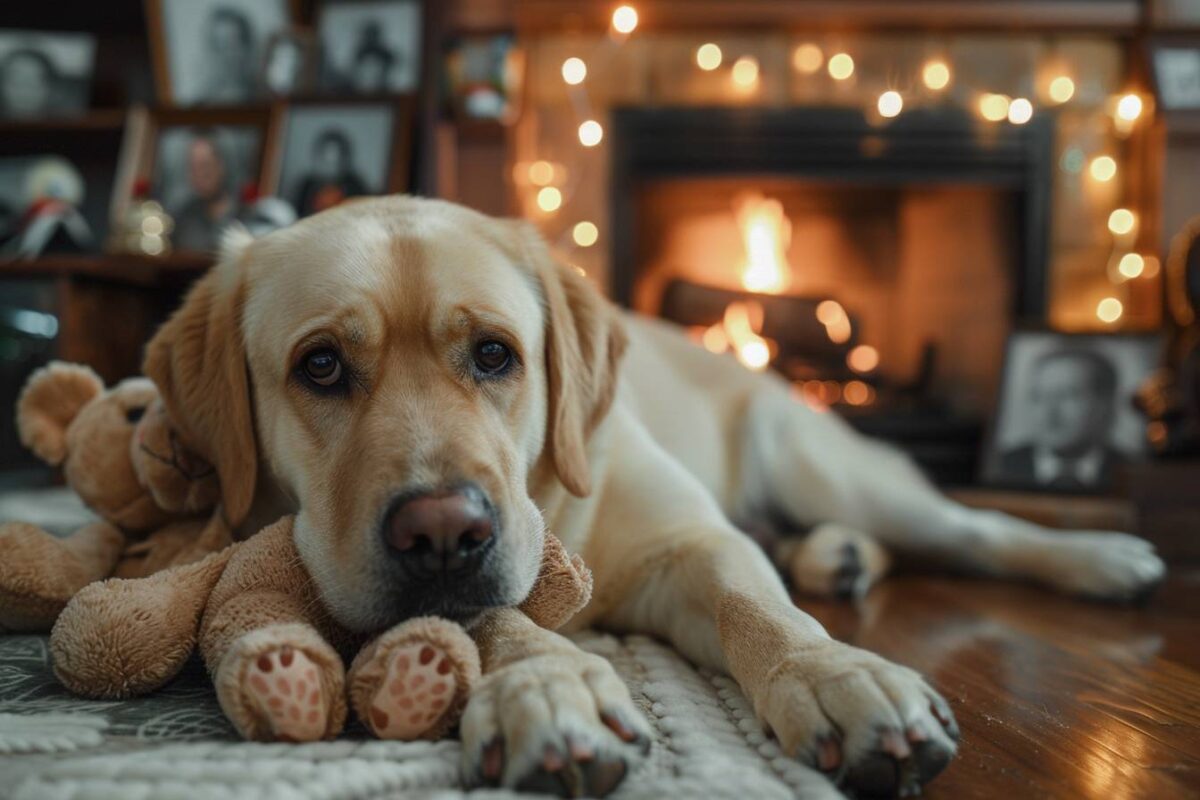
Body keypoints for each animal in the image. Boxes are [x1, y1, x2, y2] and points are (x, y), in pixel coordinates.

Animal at [142, 196, 1161, 796]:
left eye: (494, 355)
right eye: (319, 366)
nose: (444, 532)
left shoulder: (695, 545)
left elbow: (761, 611)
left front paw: (835, 676)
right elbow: (493, 619)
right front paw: (550, 687)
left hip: (821, 463)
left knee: (970, 530)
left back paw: (1104, 558)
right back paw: (837, 557)